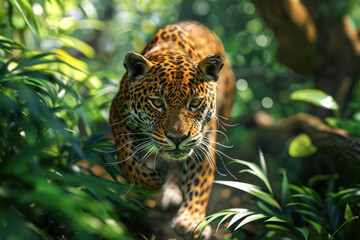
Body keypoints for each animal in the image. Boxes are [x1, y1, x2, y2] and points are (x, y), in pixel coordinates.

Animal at [108, 21, 235, 239]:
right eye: (158, 103)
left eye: (195, 103)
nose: (177, 138)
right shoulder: (117, 112)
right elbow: (127, 159)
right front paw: (152, 181)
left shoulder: (204, 139)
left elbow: (200, 180)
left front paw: (191, 219)